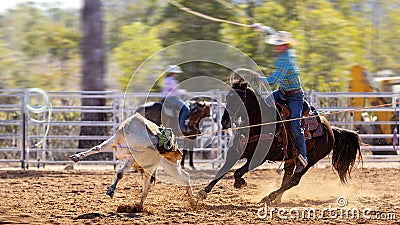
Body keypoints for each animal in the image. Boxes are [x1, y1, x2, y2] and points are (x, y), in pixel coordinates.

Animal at [198, 80, 362, 203]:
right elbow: (223, 169)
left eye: (239, 99)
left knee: (295, 180)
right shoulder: (235, 151)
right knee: (287, 177)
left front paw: (240, 183)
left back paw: (269, 197)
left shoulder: (258, 158)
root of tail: (331, 130)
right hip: (291, 159)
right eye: (227, 97)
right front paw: (203, 192)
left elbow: (238, 172)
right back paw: (276, 199)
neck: (258, 124)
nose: (224, 122)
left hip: (311, 160)